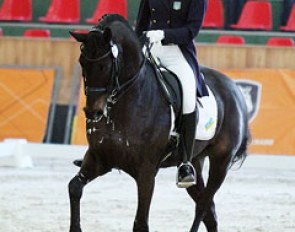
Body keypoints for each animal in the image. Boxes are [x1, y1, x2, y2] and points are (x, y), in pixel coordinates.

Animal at [70, 14, 252, 232]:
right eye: (82, 63)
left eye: (104, 66)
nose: (93, 112)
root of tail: (233, 87)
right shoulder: (99, 158)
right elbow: (74, 188)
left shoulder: (146, 172)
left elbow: (140, 223)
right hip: (195, 161)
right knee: (209, 213)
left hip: (221, 161)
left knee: (203, 205)